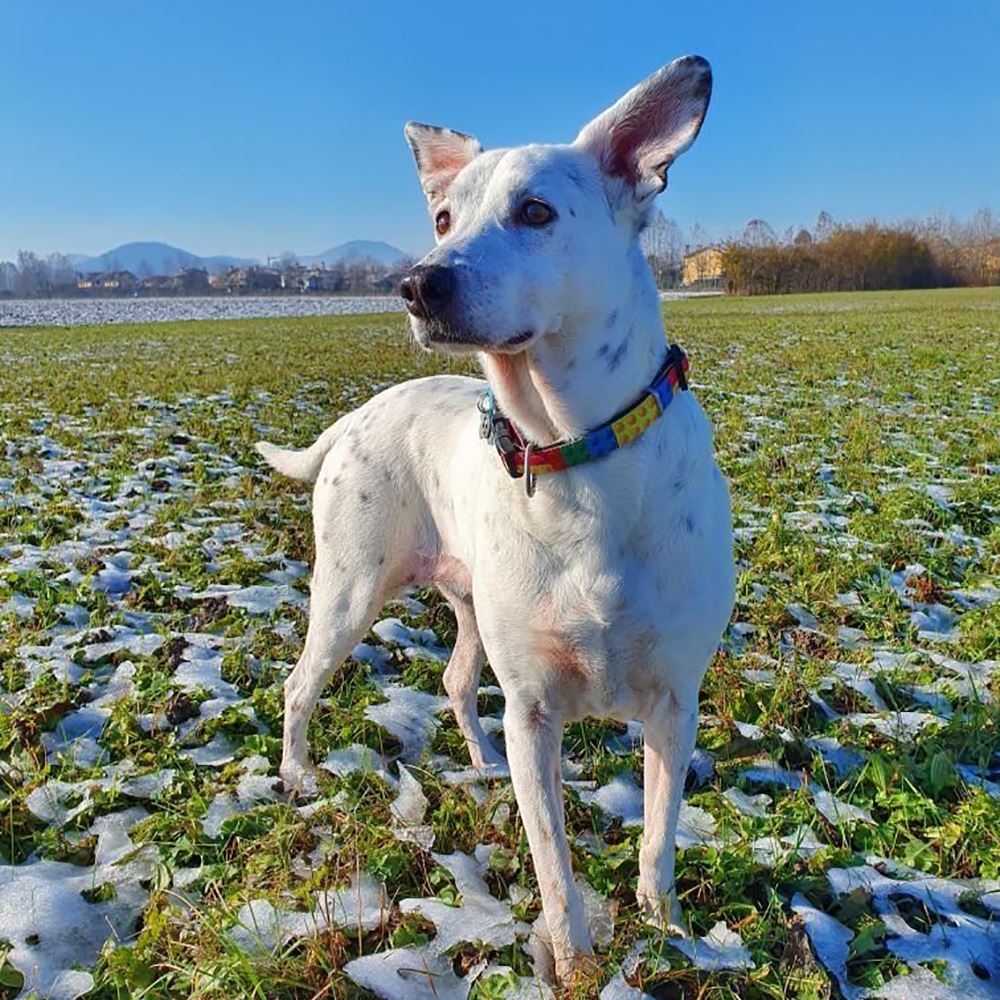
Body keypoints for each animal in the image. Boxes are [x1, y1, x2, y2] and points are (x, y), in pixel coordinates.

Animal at [262, 56, 736, 984]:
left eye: (537, 212)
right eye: (443, 218)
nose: (417, 281)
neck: (574, 450)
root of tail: (358, 414)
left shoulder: (673, 703)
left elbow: (658, 839)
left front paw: (666, 931)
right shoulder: (534, 711)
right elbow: (553, 863)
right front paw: (578, 965)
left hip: (471, 601)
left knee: (454, 680)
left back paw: (480, 766)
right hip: (350, 588)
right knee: (302, 684)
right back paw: (300, 778)